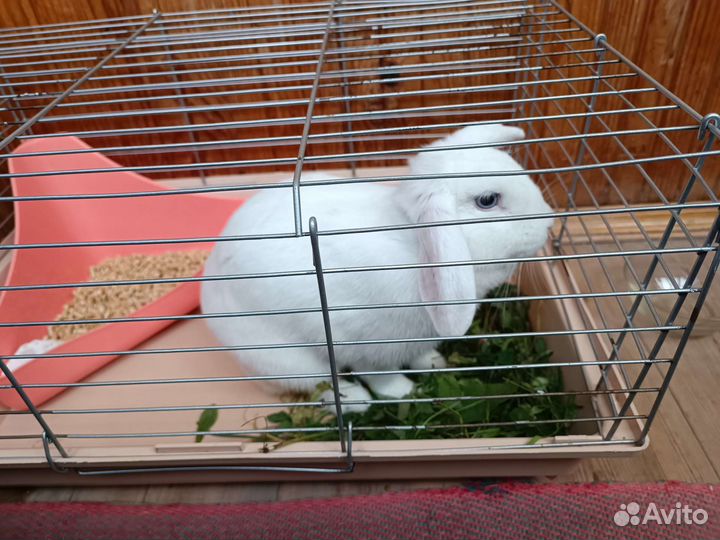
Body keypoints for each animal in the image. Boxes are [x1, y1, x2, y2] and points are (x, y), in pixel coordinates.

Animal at [201, 124, 555, 414]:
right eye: (487, 200)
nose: (550, 220)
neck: (415, 248)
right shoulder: (367, 348)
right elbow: (382, 377)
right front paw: (406, 393)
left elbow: (419, 357)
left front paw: (435, 364)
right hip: (284, 357)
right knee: (319, 383)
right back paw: (358, 402)